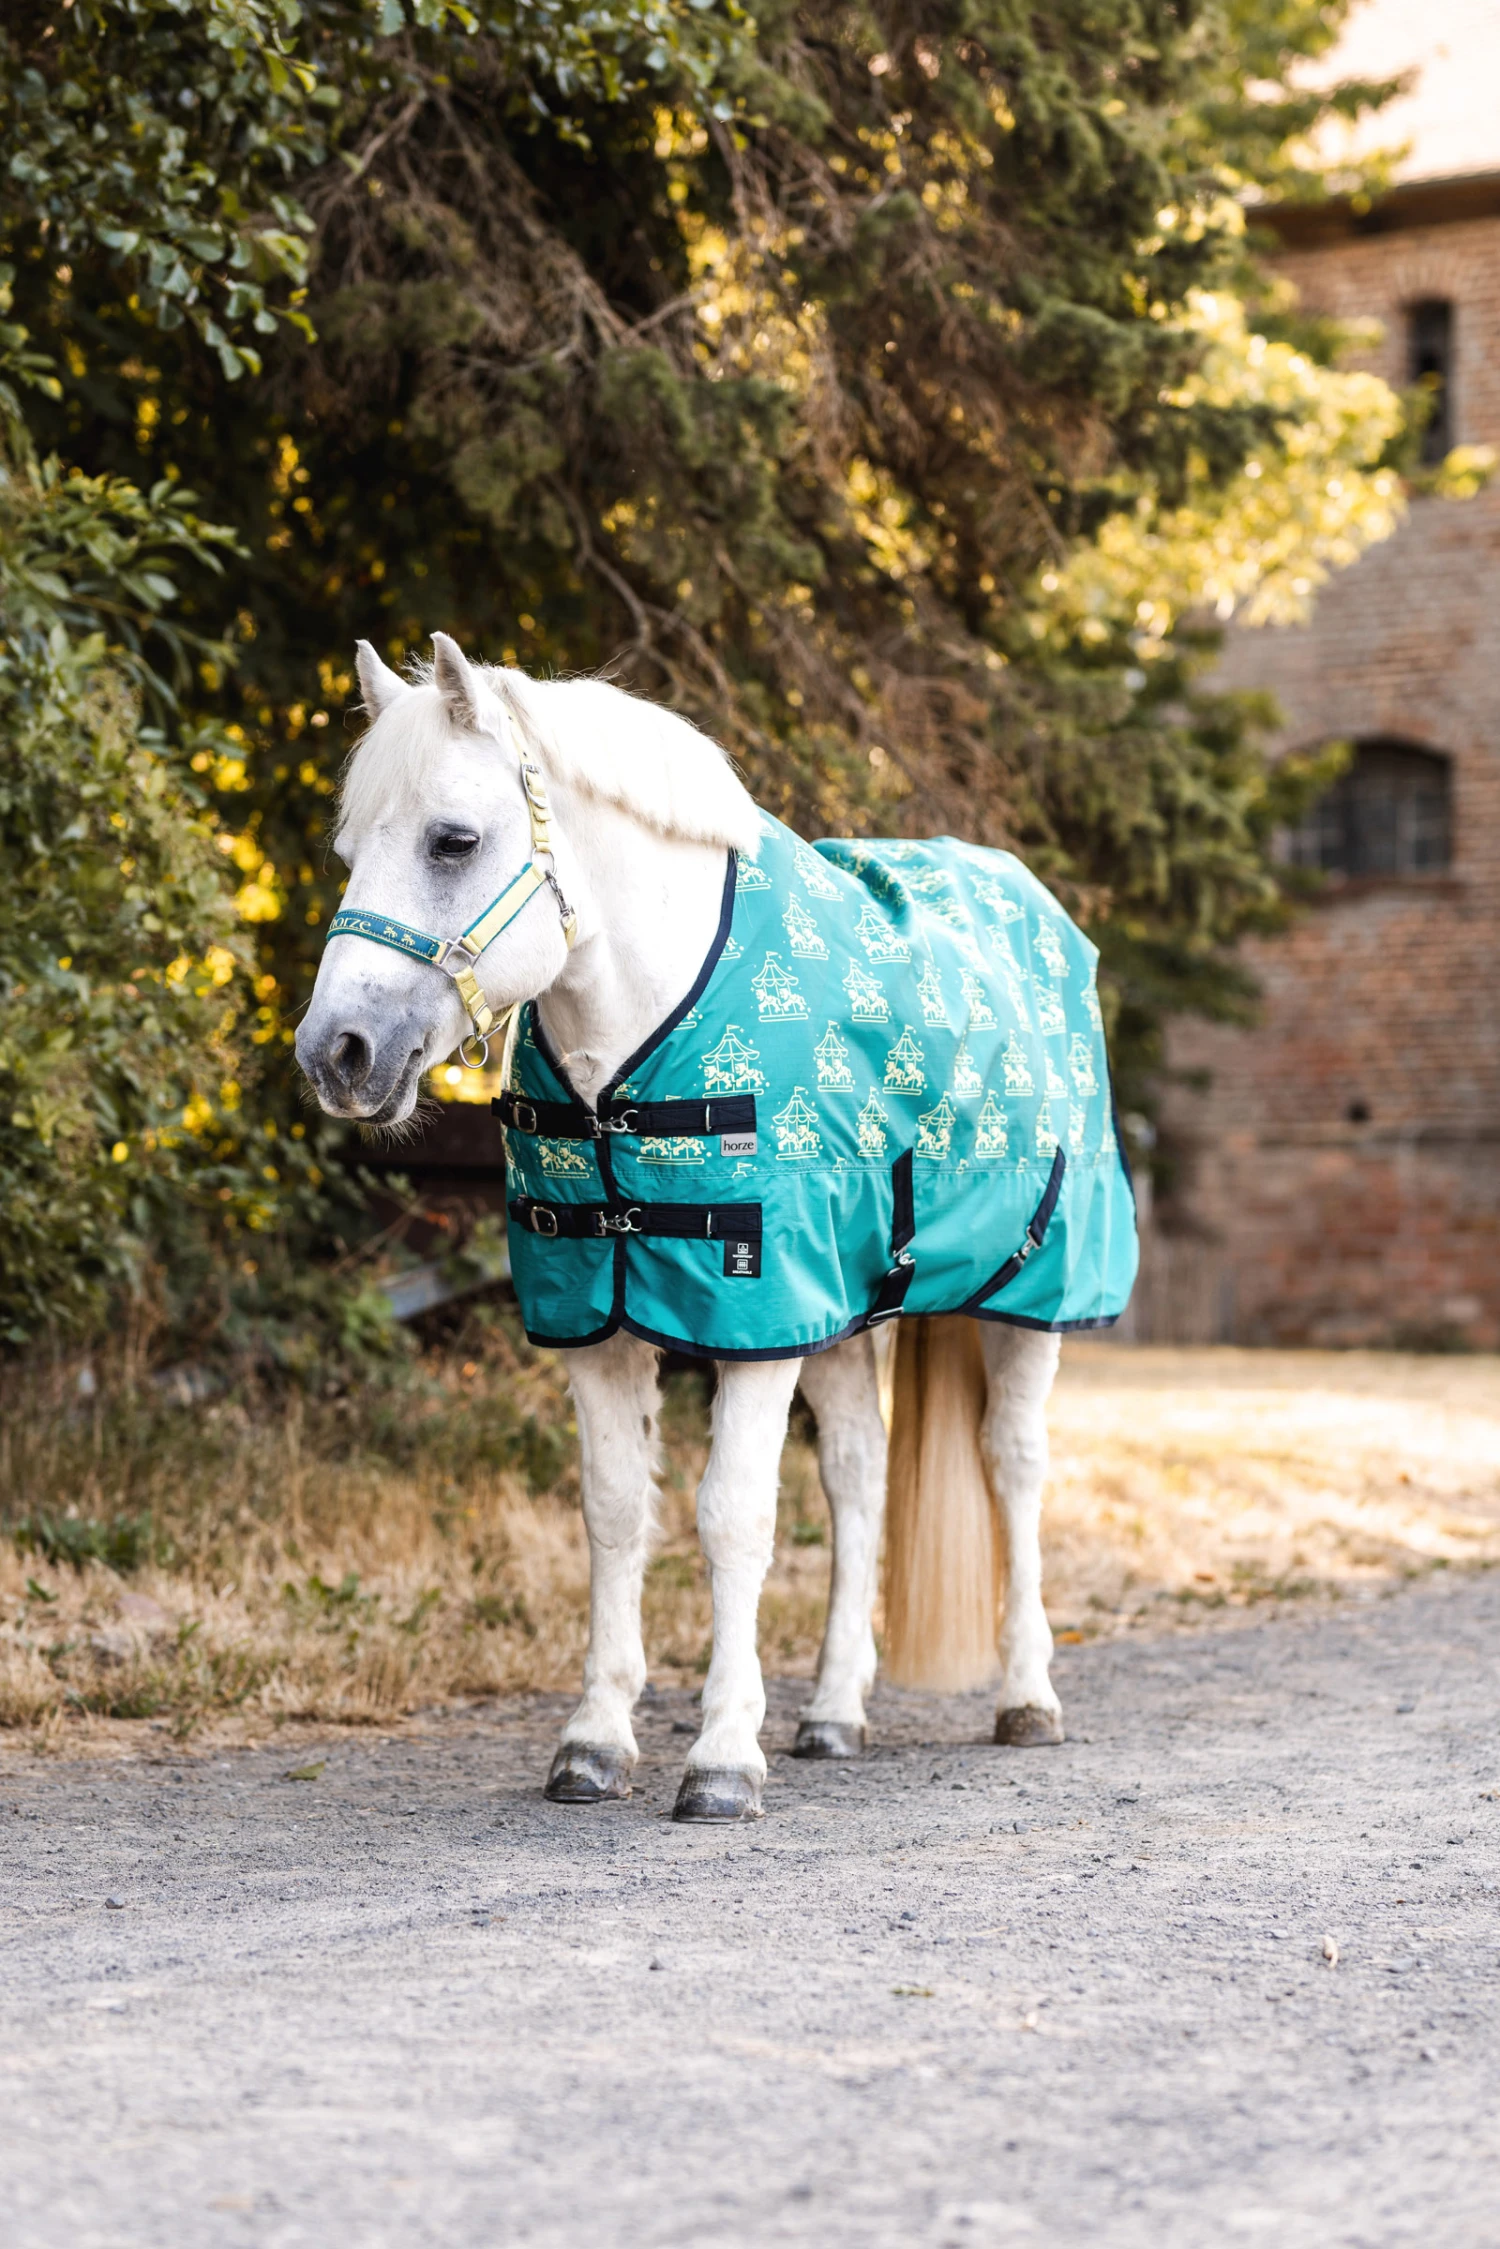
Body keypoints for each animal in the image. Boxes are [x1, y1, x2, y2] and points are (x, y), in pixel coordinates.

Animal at [296, 634, 1137, 1821]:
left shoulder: (758, 1318)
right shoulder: (600, 1322)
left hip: (1031, 1299)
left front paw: (723, 1756)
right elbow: (614, 1511)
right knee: (859, 1478)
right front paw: (594, 1740)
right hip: (848, 1314)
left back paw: (1027, 1696)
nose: (338, 1052)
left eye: (452, 839)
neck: (639, 1034)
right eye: (349, 847)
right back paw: (833, 1713)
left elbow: (732, 1515)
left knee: (1013, 1465)